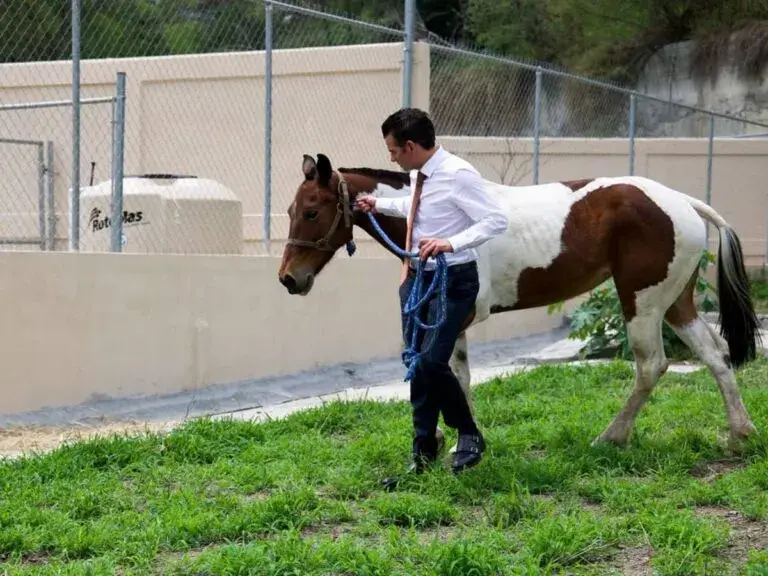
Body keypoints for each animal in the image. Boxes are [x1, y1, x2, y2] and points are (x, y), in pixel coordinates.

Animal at [278, 152, 761, 449]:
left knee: (652, 365)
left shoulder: (456, 318)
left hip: (641, 304)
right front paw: (457, 439)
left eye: (312, 211)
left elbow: (448, 375)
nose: (288, 279)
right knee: (716, 355)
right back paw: (740, 432)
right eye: (290, 210)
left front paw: (457, 441)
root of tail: (685, 203)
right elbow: (457, 375)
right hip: (676, 303)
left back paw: (611, 437)